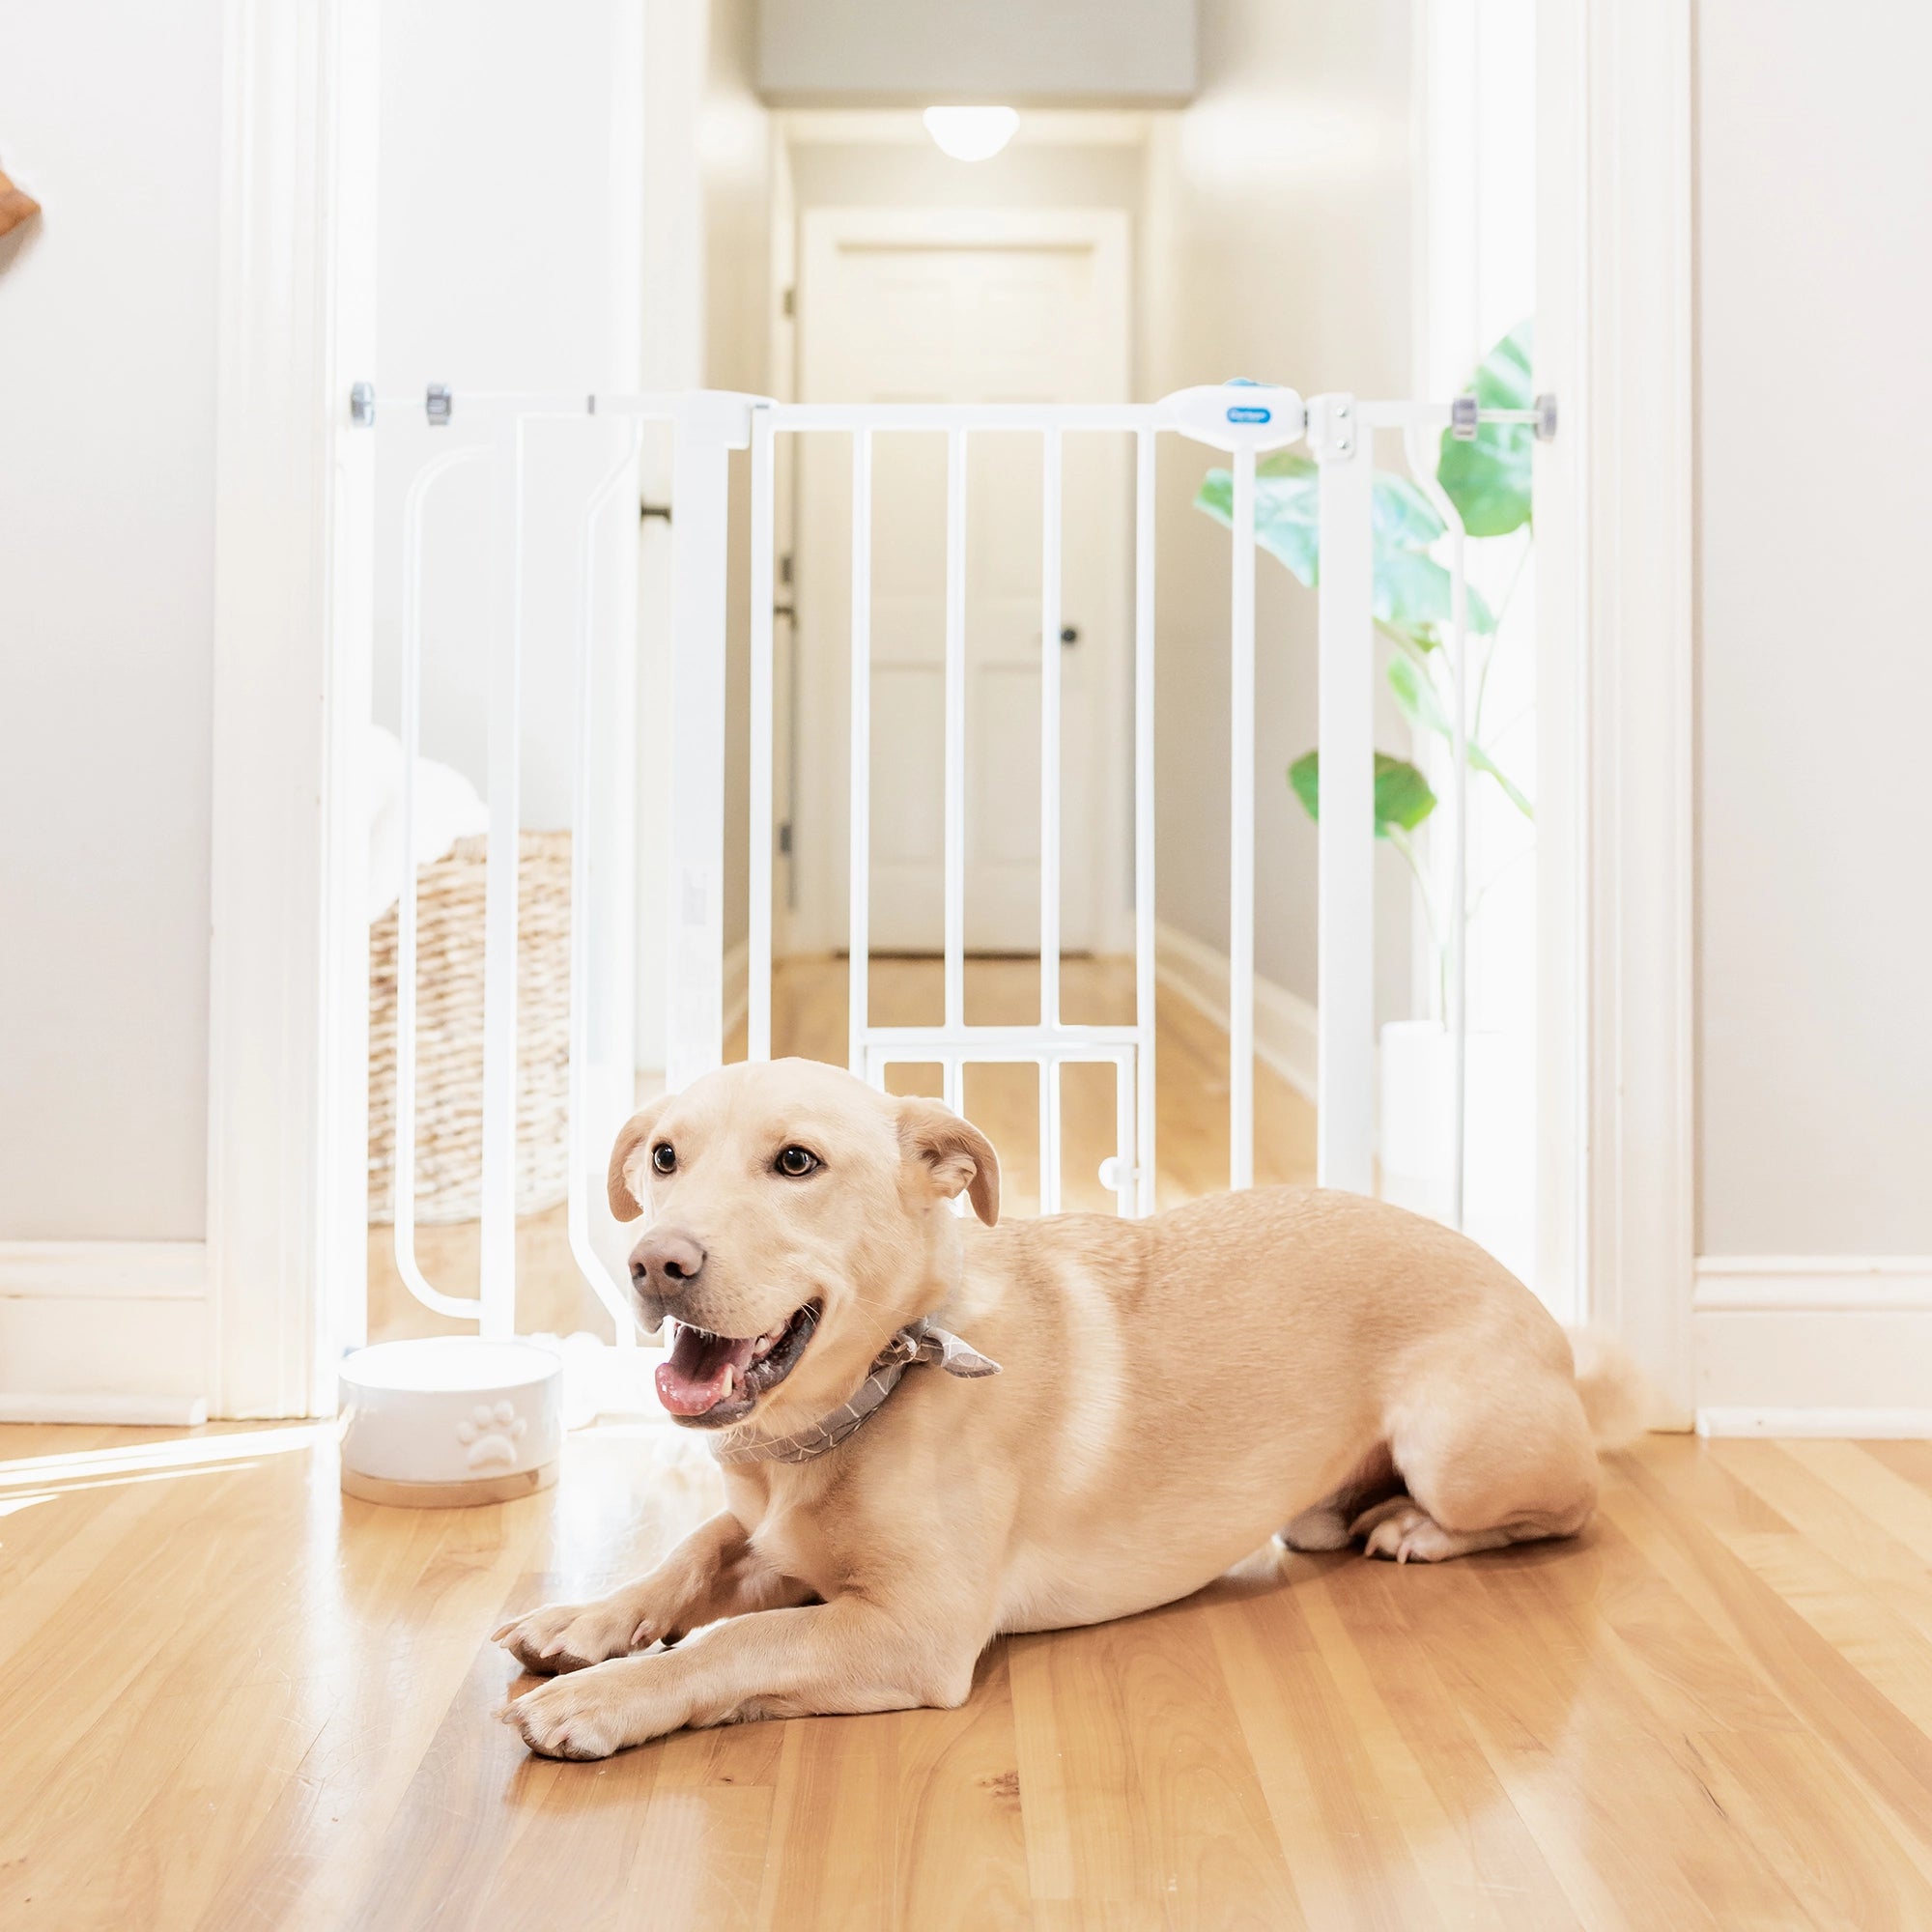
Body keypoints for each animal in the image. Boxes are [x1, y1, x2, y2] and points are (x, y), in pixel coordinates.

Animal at [491, 1051, 1638, 1762]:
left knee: (1570, 1506)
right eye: (663, 1157)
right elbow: (688, 1554)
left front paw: (596, 1700)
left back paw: (1414, 1526)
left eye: (797, 1162)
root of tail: (1542, 1317)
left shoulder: (911, 1629)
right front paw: (585, 1622)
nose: (654, 1262)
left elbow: (730, 1644)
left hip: (1456, 1447)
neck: (860, 1402)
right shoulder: (768, 1534)